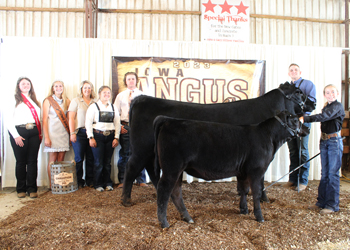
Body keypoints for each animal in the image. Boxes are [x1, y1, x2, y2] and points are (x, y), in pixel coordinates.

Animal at [121, 81, 316, 206]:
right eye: (299, 92)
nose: (314, 103)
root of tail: (141, 99)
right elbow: (259, 179)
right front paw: (263, 198)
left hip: (150, 151)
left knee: (150, 170)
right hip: (141, 148)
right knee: (131, 167)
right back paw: (126, 200)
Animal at [153, 112, 308, 228]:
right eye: (295, 120)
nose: (307, 129)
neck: (269, 138)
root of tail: (168, 120)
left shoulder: (243, 172)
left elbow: (244, 190)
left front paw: (244, 210)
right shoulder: (256, 171)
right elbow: (256, 193)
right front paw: (259, 216)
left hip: (177, 170)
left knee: (176, 192)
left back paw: (187, 218)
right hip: (171, 168)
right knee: (164, 191)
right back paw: (164, 222)